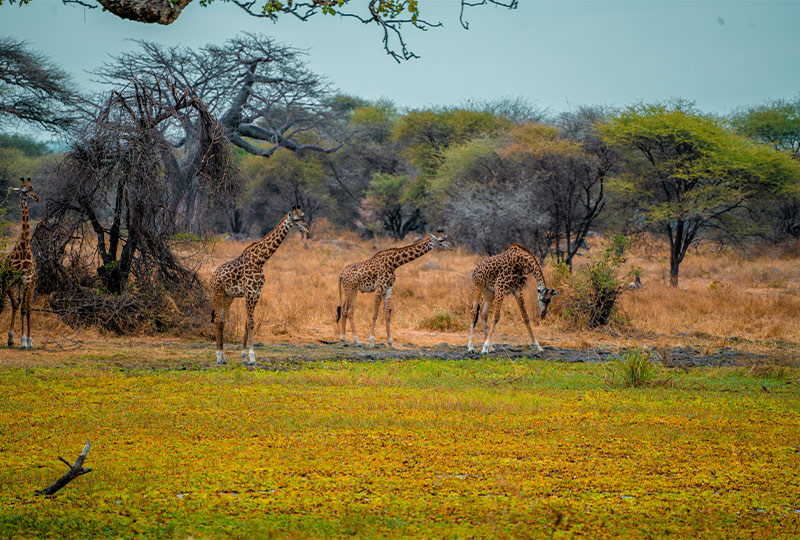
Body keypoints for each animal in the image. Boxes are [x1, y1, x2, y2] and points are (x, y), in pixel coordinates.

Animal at [209, 207, 310, 368]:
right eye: (296, 219)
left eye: (303, 216)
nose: (307, 228)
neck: (260, 260)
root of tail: (211, 277)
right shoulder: (249, 292)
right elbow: (250, 322)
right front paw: (252, 358)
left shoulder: (256, 293)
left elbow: (246, 322)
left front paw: (244, 357)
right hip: (216, 294)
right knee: (218, 320)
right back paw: (219, 358)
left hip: (228, 297)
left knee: (222, 320)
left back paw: (224, 358)